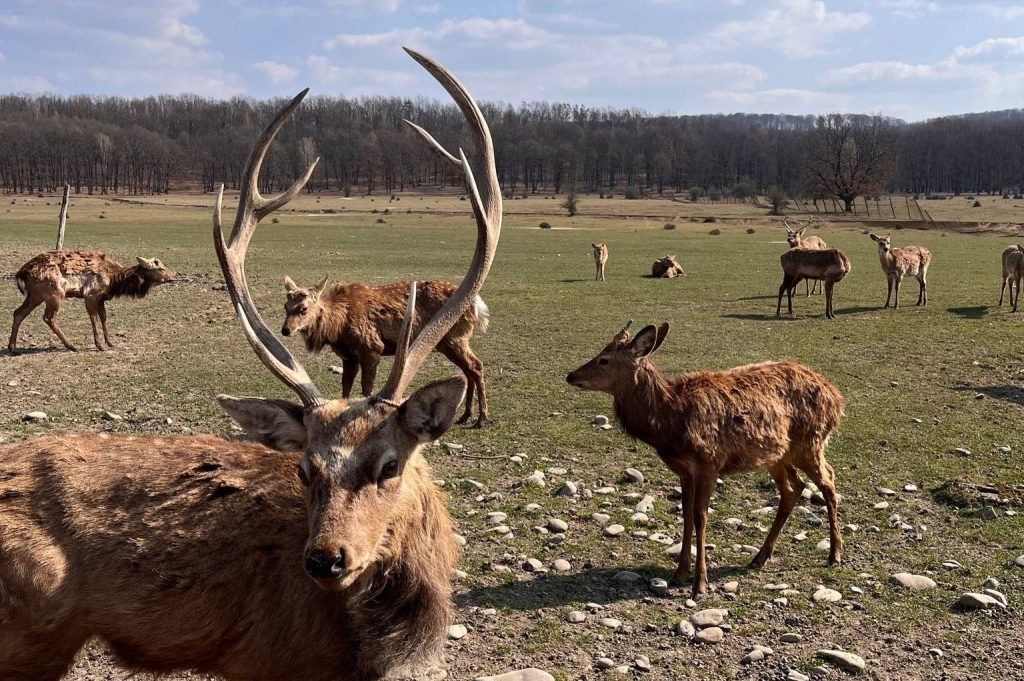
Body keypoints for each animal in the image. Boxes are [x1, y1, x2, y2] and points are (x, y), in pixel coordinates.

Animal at [8, 251, 175, 354]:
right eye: (160, 268)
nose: (173, 276)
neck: (114, 279)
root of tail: (21, 273)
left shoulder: (101, 298)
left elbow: (103, 317)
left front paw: (110, 342)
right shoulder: (90, 295)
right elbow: (94, 318)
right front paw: (99, 345)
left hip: (35, 296)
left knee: (18, 313)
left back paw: (13, 348)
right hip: (55, 294)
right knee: (49, 317)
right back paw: (72, 346)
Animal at [281, 276, 491, 427]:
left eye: (303, 308)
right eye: (285, 306)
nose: (285, 330)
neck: (337, 327)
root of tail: (477, 305)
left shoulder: (372, 348)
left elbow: (366, 387)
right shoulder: (349, 357)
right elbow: (345, 388)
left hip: (455, 338)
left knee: (476, 365)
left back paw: (482, 418)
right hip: (447, 343)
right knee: (468, 369)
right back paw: (466, 415)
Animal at [566, 321, 845, 600]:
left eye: (604, 359)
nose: (571, 375)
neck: (671, 424)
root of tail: (837, 397)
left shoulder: (709, 462)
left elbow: (700, 517)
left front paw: (699, 585)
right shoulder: (684, 471)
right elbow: (686, 514)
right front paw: (679, 574)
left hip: (810, 442)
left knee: (829, 481)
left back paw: (835, 554)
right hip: (776, 453)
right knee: (793, 487)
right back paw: (760, 557)